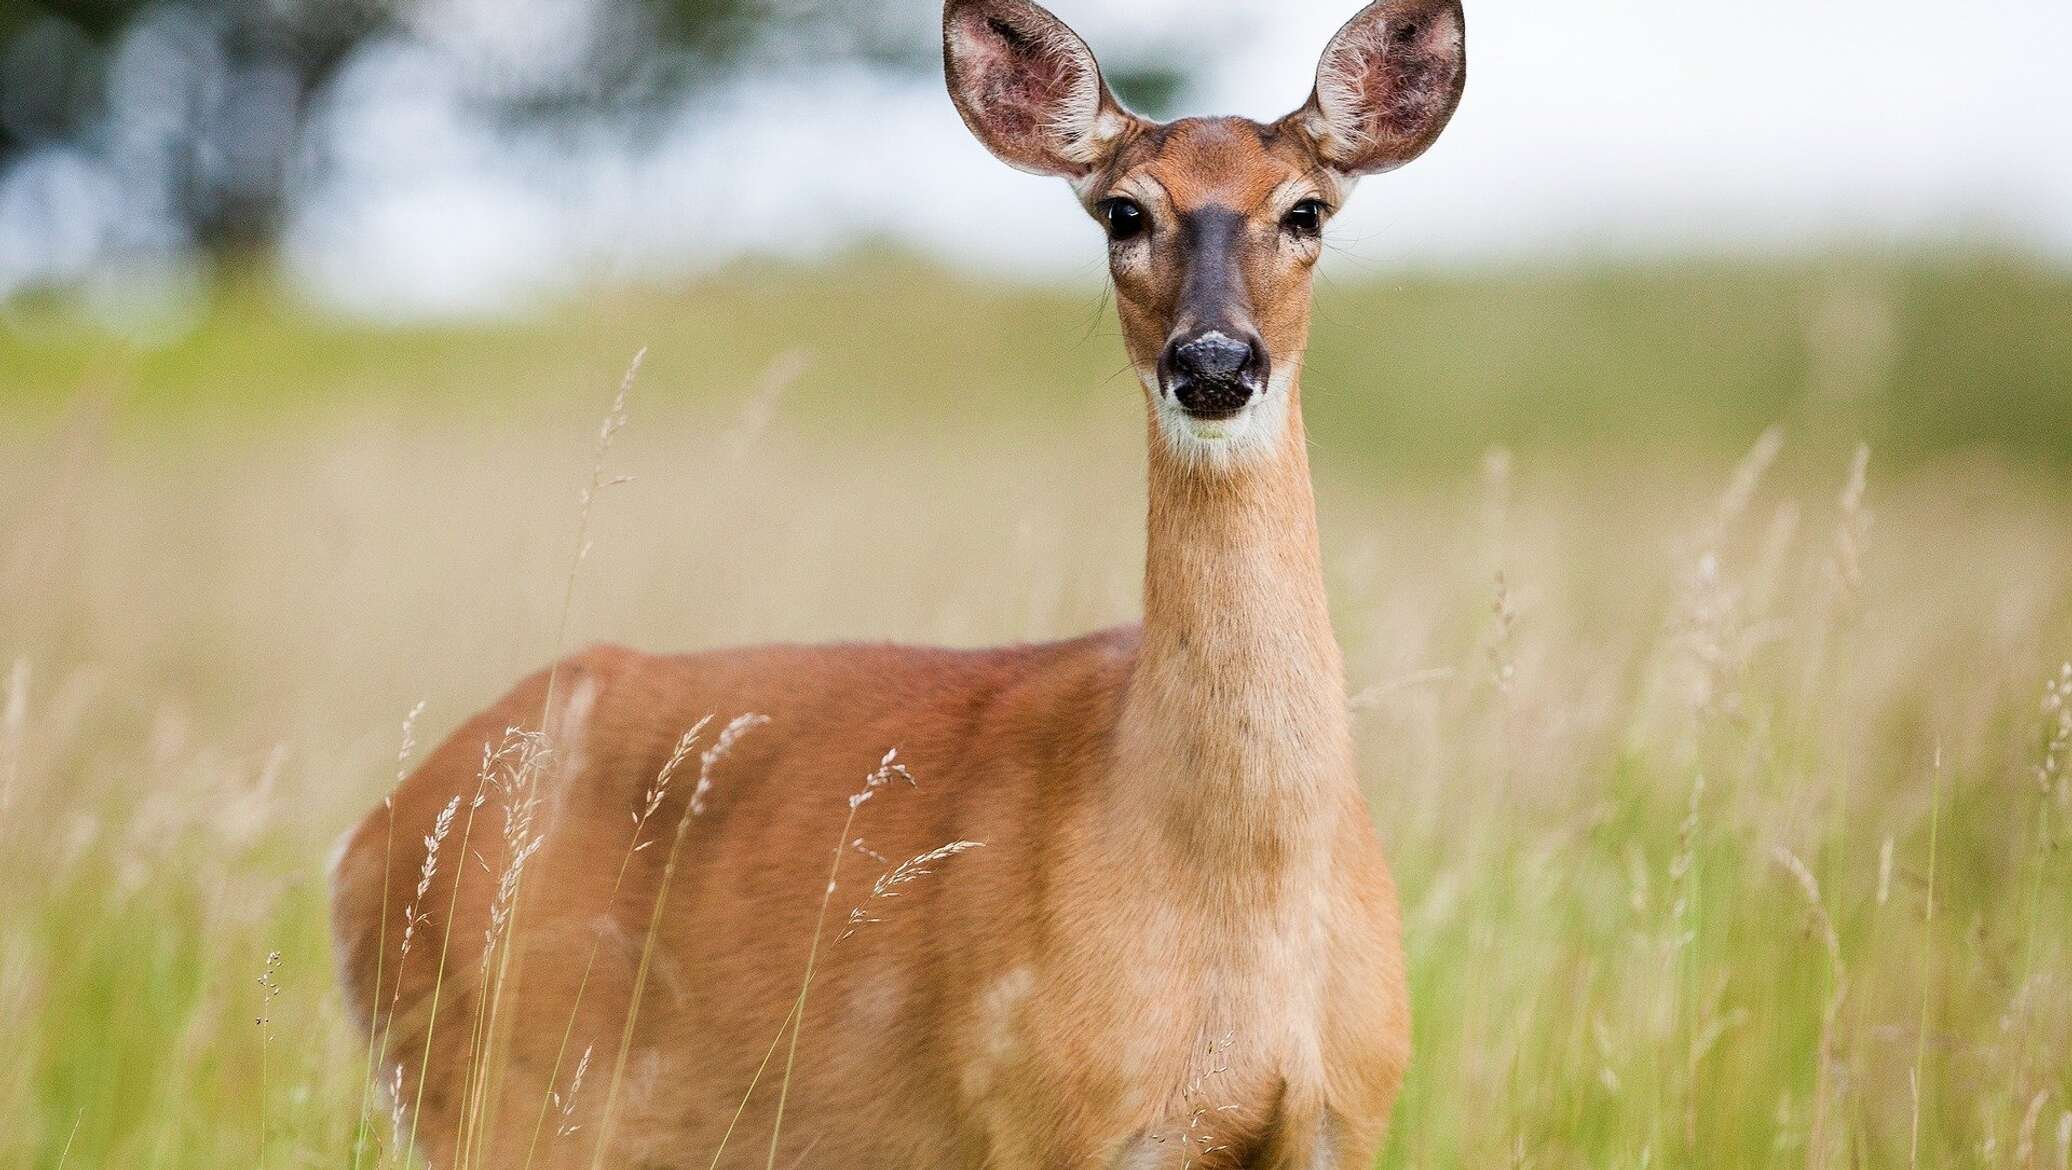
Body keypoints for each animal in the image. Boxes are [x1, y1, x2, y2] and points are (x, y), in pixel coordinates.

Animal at [331, 0, 1466, 1159]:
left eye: (1304, 210)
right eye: (1122, 212)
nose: (1213, 364)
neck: (1239, 887)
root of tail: (364, 844)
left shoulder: (1343, 1120)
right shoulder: (1040, 1116)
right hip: (485, 1092)